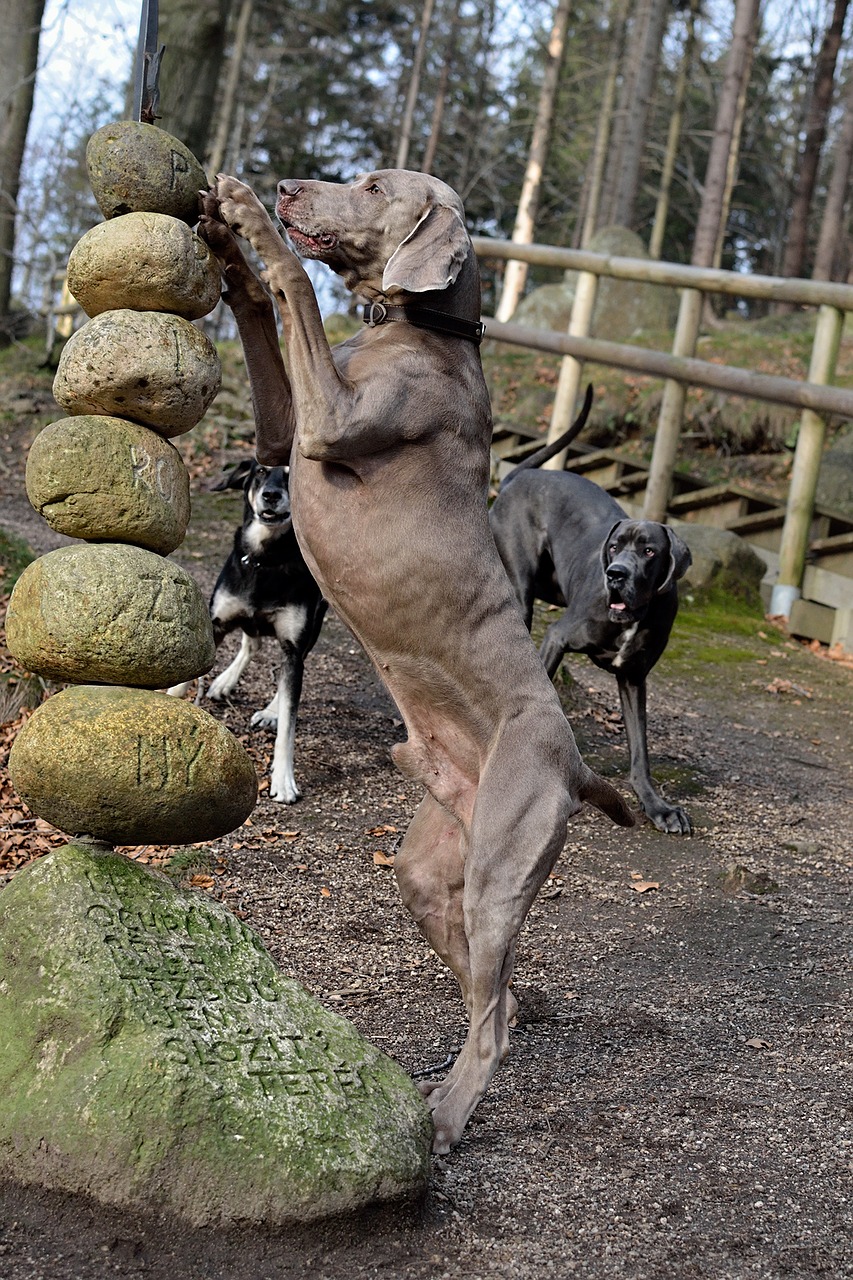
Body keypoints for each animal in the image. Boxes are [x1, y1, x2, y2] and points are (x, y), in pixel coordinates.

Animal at [175, 458, 325, 798]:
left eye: (291, 474)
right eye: (260, 471)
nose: (271, 495)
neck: (266, 558)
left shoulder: (294, 645)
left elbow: (289, 724)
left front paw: (283, 779)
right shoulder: (215, 623)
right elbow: (181, 680)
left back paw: (269, 710)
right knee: (251, 643)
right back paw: (224, 682)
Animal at [194, 165, 630, 1157]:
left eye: (371, 184)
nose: (289, 185)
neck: (421, 332)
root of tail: (577, 765)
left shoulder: (329, 424)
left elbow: (296, 289)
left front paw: (253, 221)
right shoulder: (283, 431)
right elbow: (262, 315)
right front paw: (227, 238)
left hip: (501, 867)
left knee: (493, 1019)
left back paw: (446, 1117)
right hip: (431, 874)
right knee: (491, 993)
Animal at [491, 419, 691, 834]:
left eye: (649, 550)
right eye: (614, 547)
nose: (615, 574)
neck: (633, 614)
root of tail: (520, 476)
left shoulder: (634, 677)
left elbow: (640, 750)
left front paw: (657, 806)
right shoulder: (558, 637)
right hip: (520, 586)